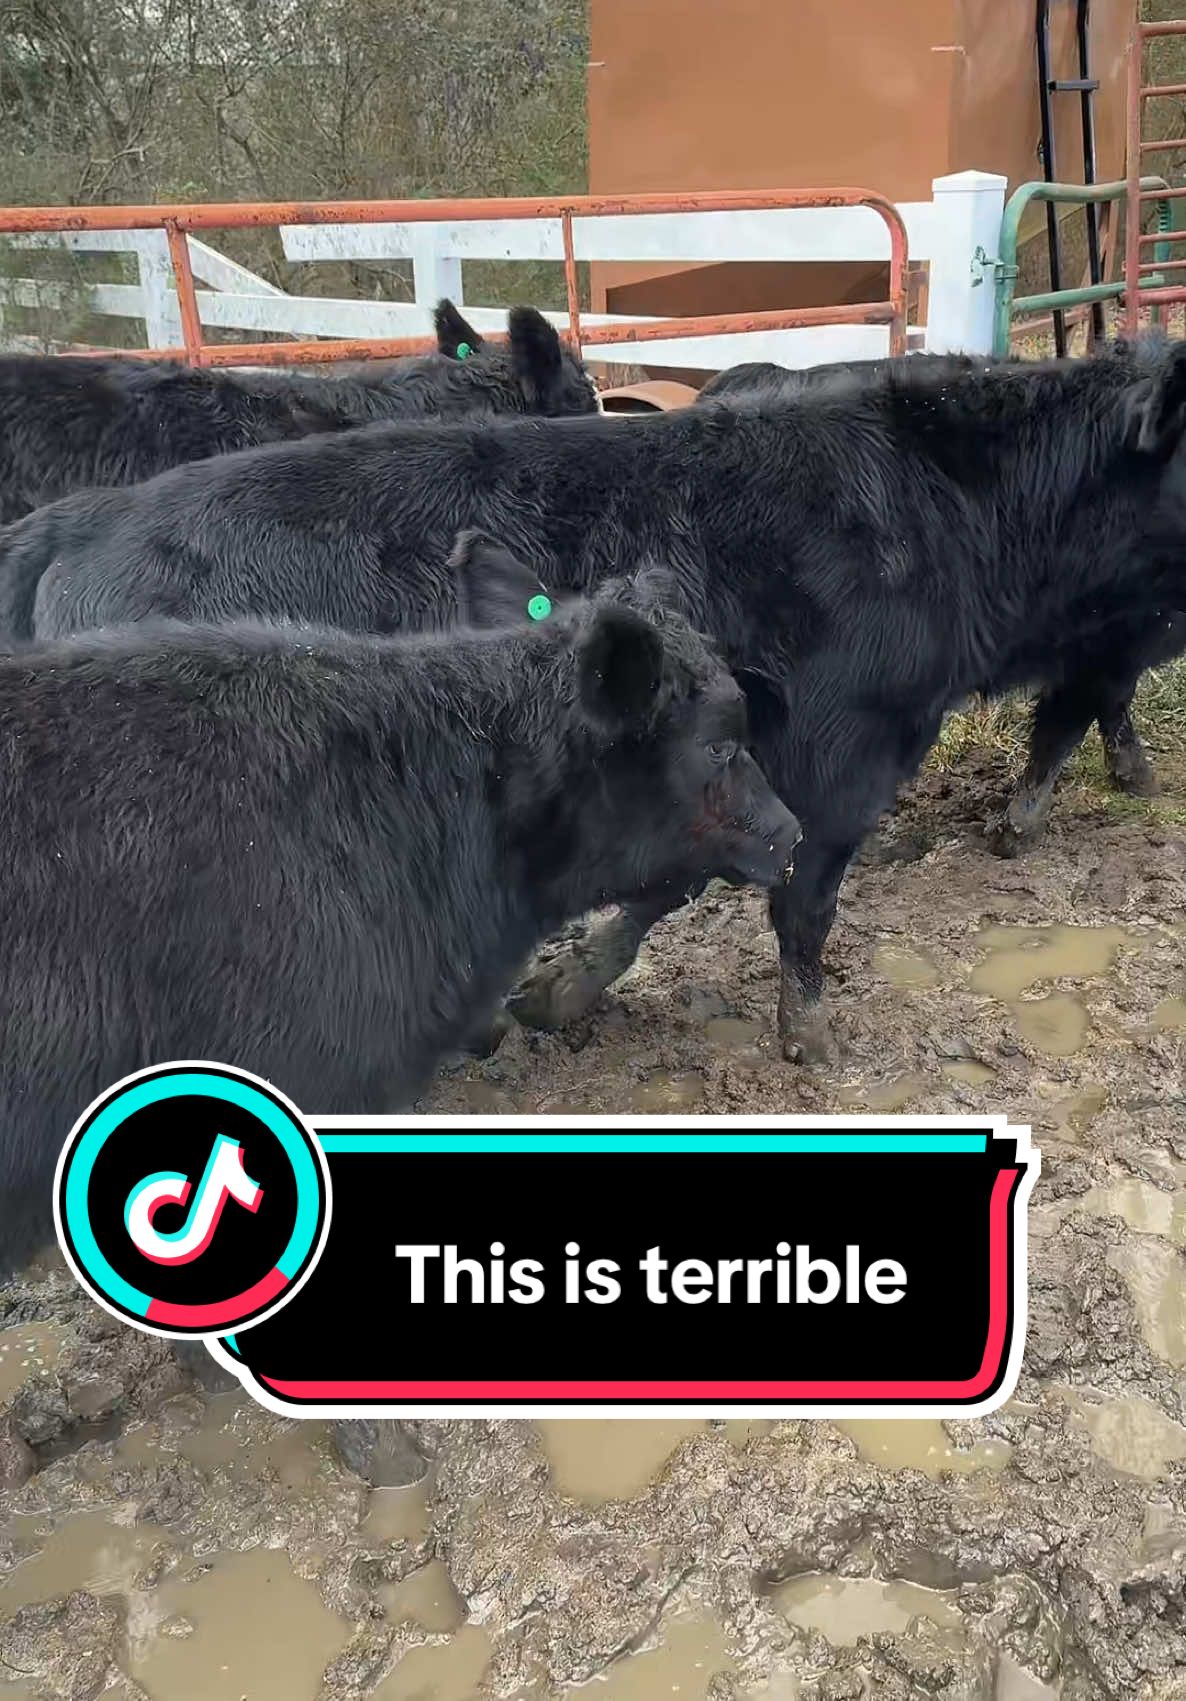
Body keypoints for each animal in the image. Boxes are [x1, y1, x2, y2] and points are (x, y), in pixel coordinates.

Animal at [17, 342, 1186, 1066]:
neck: (944, 511)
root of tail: (81, 524)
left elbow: (673, 883)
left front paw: (555, 995)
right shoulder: (848, 752)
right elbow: (800, 898)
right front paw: (810, 1041)